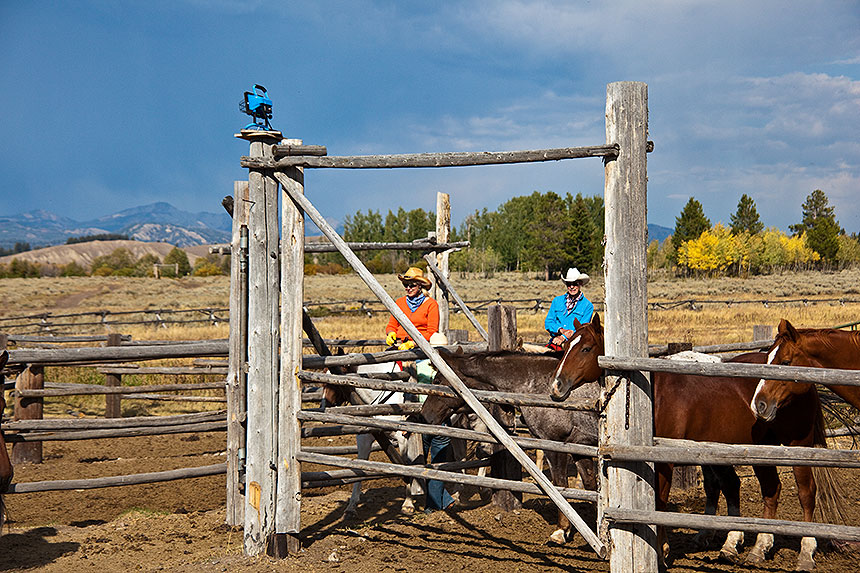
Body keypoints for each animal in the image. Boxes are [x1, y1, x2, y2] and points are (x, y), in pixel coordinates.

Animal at [422, 342, 596, 544]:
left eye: (437, 381)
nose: (425, 414)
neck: (538, 383)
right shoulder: (579, 446)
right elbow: (591, 486)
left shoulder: (554, 443)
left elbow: (560, 484)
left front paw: (561, 531)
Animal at [548, 316, 836, 568]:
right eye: (566, 345)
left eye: (586, 348)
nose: (556, 386)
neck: (652, 395)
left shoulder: (664, 461)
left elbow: (660, 503)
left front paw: (662, 553)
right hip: (757, 449)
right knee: (766, 490)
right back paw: (750, 547)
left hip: (797, 445)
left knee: (805, 493)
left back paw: (805, 552)